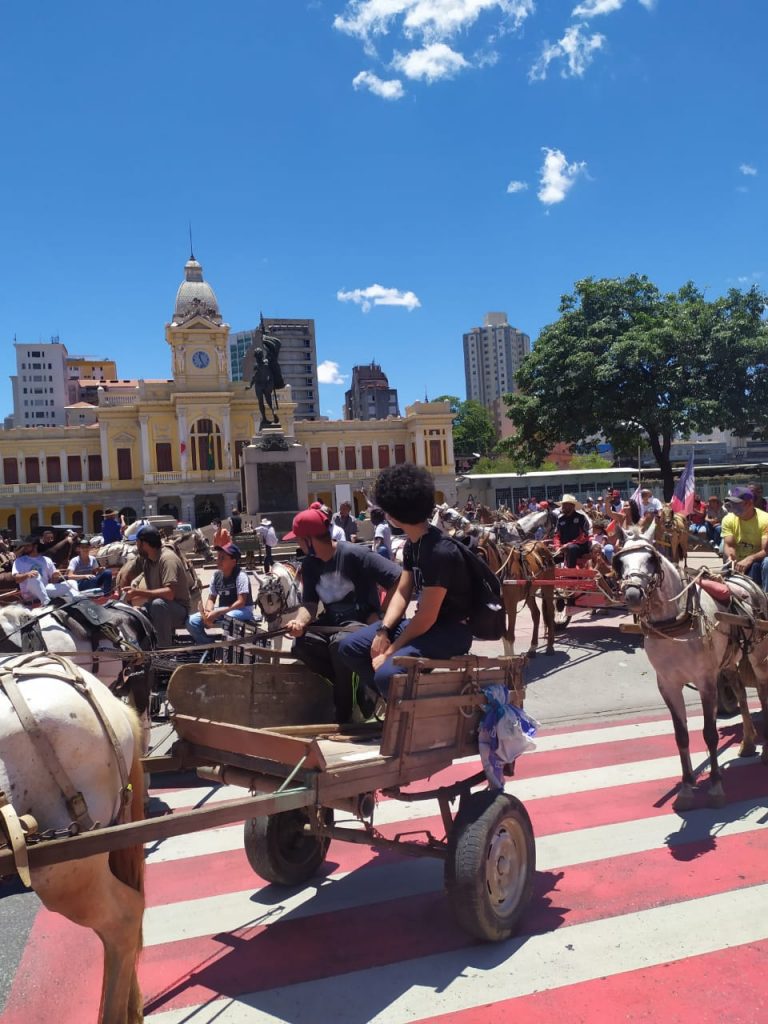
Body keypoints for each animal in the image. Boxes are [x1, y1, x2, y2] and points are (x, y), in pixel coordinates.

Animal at [610, 524, 765, 811]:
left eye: (651, 559)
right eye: (620, 562)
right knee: (740, 692)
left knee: (762, 693)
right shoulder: (668, 685)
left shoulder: (706, 682)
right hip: (728, 661)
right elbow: (681, 736)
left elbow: (710, 734)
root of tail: (739, 576)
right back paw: (748, 743)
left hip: (759, 657)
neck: (675, 622)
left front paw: (715, 787)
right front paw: (685, 788)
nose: (633, 594)